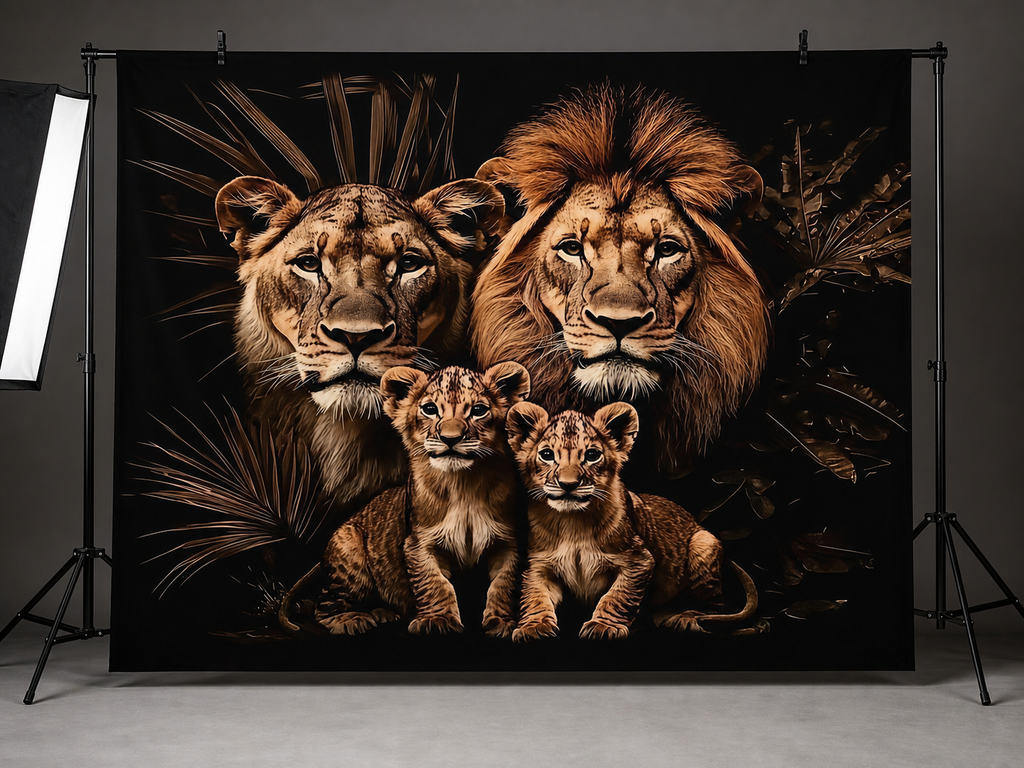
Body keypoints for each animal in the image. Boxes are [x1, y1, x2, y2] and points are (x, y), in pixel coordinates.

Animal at [278, 362, 529, 637]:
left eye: (478, 410)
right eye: (430, 409)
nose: (450, 438)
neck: (464, 485)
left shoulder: (507, 543)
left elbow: (503, 585)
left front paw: (501, 623)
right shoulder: (419, 543)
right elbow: (435, 584)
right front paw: (437, 621)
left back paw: (383, 613)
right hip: (351, 561)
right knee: (323, 605)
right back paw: (352, 620)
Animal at [506, 401, 758, 641]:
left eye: (592, 455)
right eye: (547, 455)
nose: (569, 485)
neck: (572, 522)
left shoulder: (638, 559)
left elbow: (617, 596)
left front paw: (603, 626)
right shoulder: (539, 564)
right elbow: (535, 596)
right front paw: (534, 626)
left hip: (703, 542)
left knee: (714, 606)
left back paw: (685, 619)